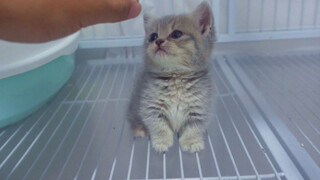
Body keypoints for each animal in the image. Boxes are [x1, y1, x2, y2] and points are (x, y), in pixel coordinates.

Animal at [127, 1, 215, 153]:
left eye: (177, 34)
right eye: (153, 36)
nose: (158, 41)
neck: (176, 77)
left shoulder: (199, 108)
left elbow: (194, 127)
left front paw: (191, 141)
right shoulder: (151, 107)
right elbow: (158, 126)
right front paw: (162, 141)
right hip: (134, 105)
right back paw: (139, 130)